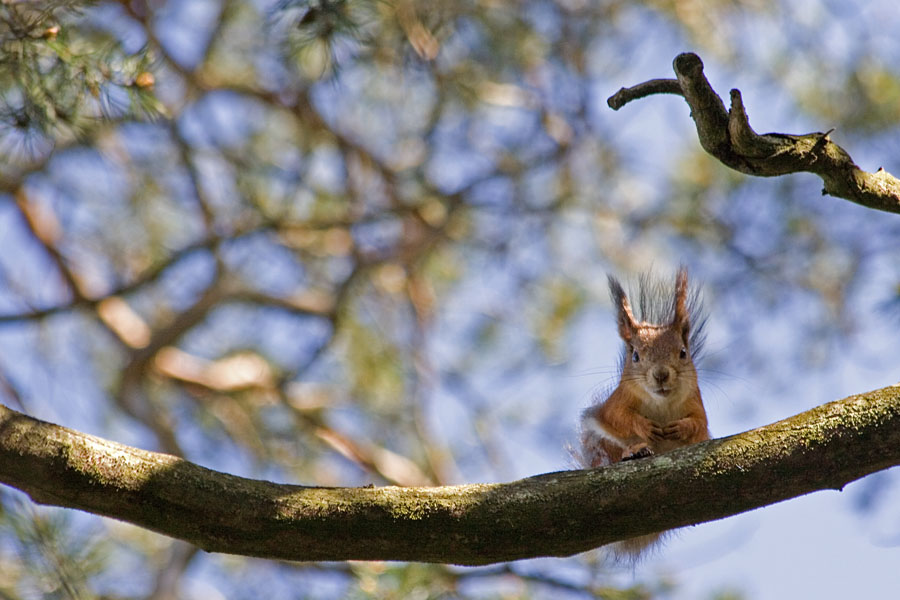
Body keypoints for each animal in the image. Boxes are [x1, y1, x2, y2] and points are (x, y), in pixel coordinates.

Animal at [580, 268, 712, 556]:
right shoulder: (617, 402)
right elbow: (619, 418)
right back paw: (635, 451)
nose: (661, 374)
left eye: (683, 353)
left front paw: (681, 427)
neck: (661, 403)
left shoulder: (696, 403)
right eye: (636, 356)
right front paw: (644, 426)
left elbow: (699, 423)